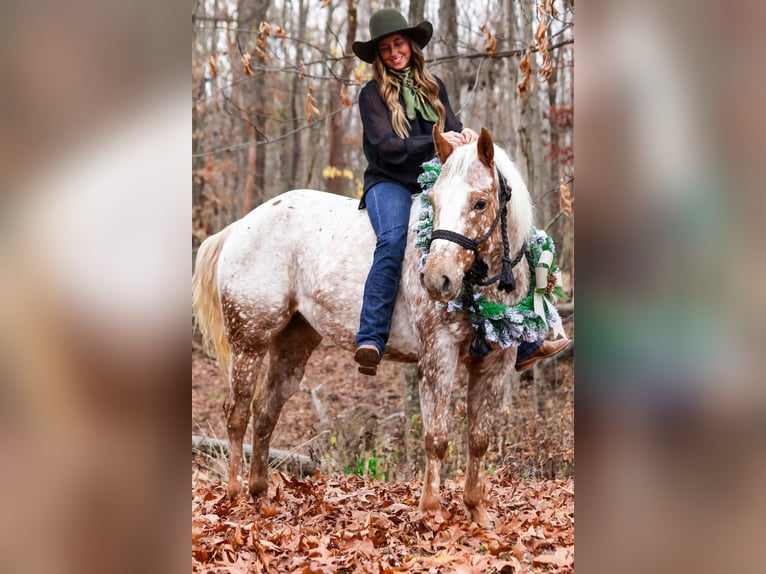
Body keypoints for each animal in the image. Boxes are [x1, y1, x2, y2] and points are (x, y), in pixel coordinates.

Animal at [194, 127, 536, 528]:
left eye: (481, 203)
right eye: (434, 201)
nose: (437, 280)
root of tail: (240, 227)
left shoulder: (495, 364)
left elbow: (479, 439)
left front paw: (477, 511)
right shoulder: (438, 355)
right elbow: (436, 438)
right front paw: (431, 513)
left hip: (293, 344)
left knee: (265, 413)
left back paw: (260, 494)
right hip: (249, 341)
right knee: (237, 413)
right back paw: (234, 496)